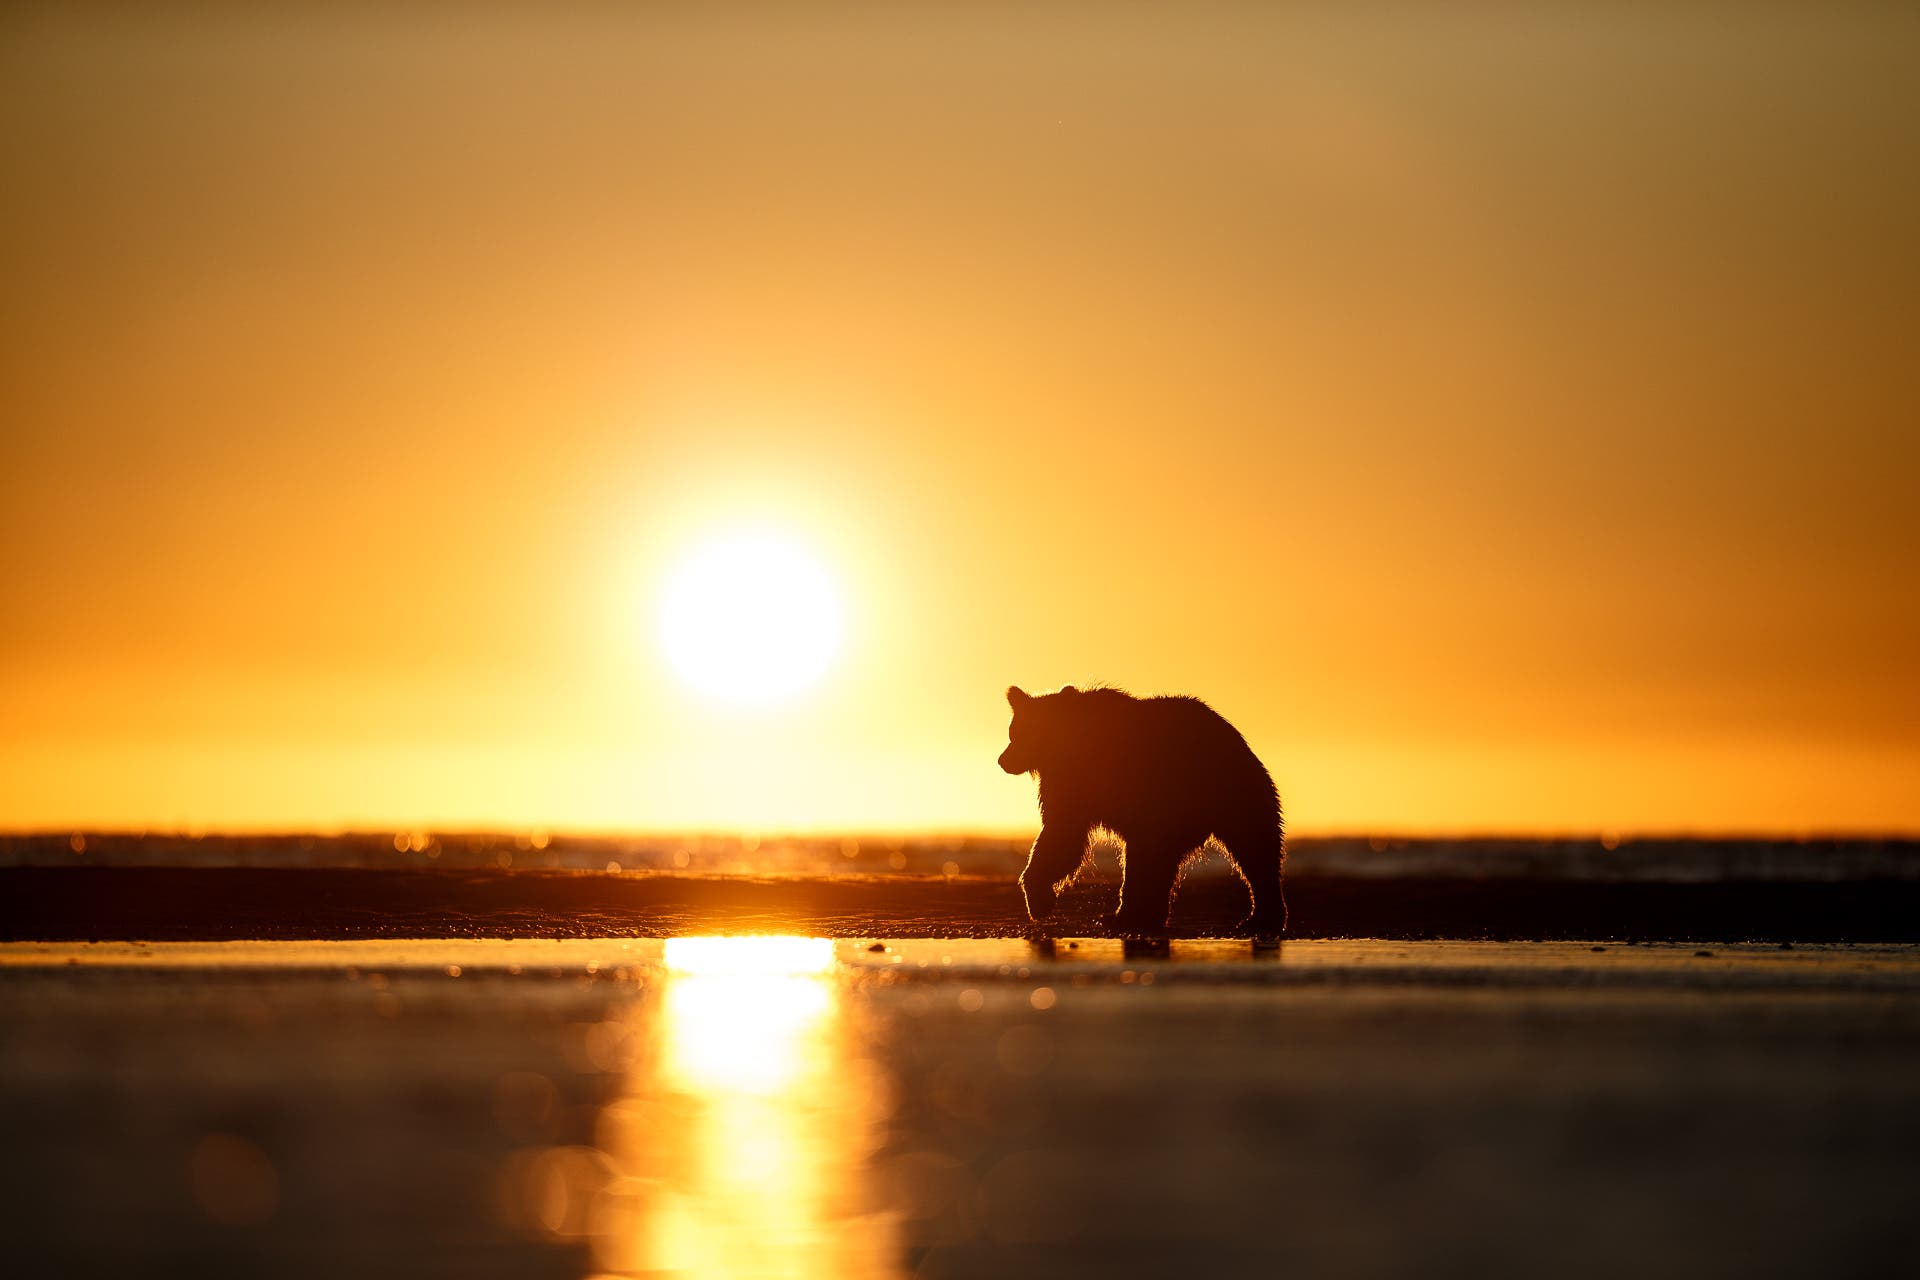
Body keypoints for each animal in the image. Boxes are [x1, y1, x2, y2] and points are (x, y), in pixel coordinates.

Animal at [998, 684, 1285, 936]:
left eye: (1017, 733)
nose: (1003, 760)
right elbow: (1063, 835)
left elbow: (1061, 836)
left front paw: (1039, 901)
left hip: (1225, 792)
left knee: (1253, 847)